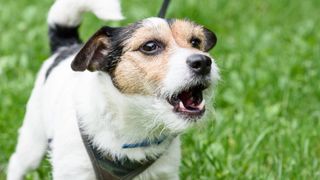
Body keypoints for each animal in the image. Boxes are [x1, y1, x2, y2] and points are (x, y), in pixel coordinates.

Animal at [6, 0, 218, 179]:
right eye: (150, 46)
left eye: (195, 42)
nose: (203, 62)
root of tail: (65, 47)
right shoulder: (73, 171)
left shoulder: (165, 173)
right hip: (33, 142)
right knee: (16, 162)